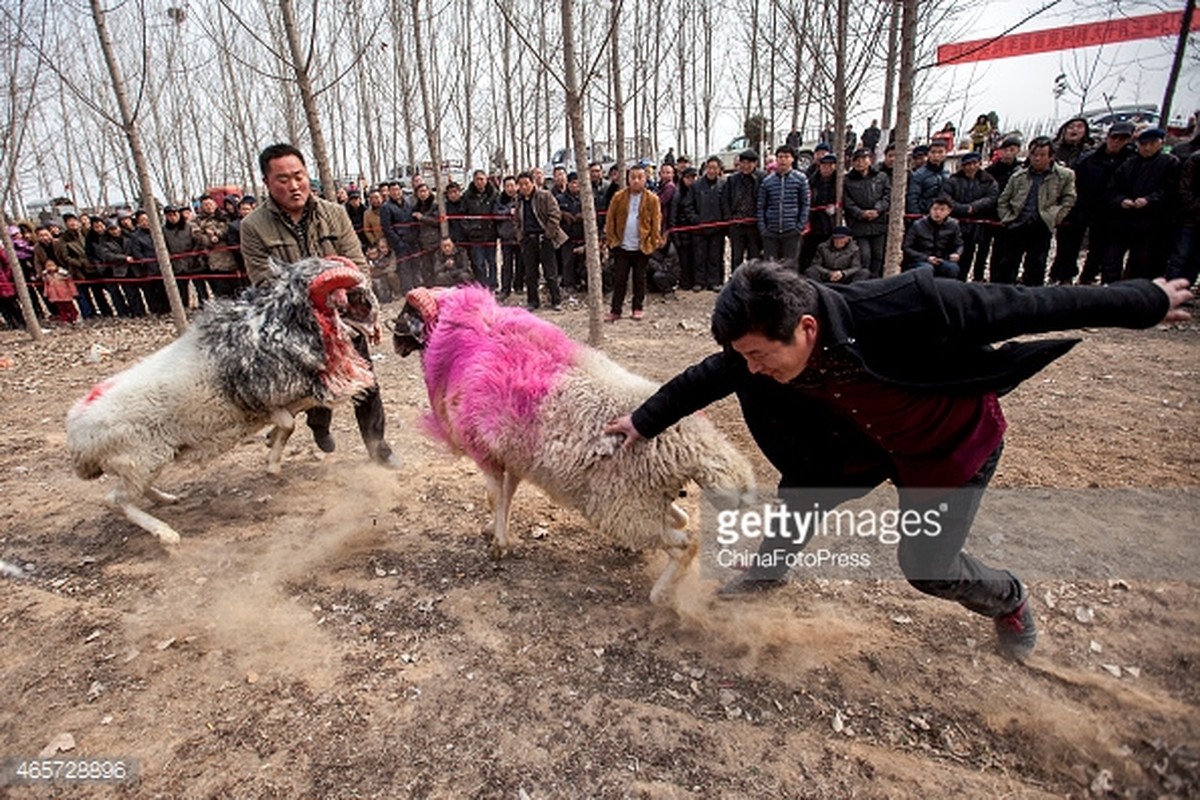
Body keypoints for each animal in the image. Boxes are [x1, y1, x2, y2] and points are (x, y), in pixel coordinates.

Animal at [393, 284, 748, 604]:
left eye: (407, 314)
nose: (393, 340)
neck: (468, 339)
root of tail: (692, 444)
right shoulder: (513, 457)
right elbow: (507, 496)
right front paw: (495, 530)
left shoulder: (486, 453)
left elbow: (494, 497)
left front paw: (498, 545)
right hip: (641, 501)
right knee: (680, 520)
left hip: (622, 510)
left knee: (687, 544)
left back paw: (660, 595)